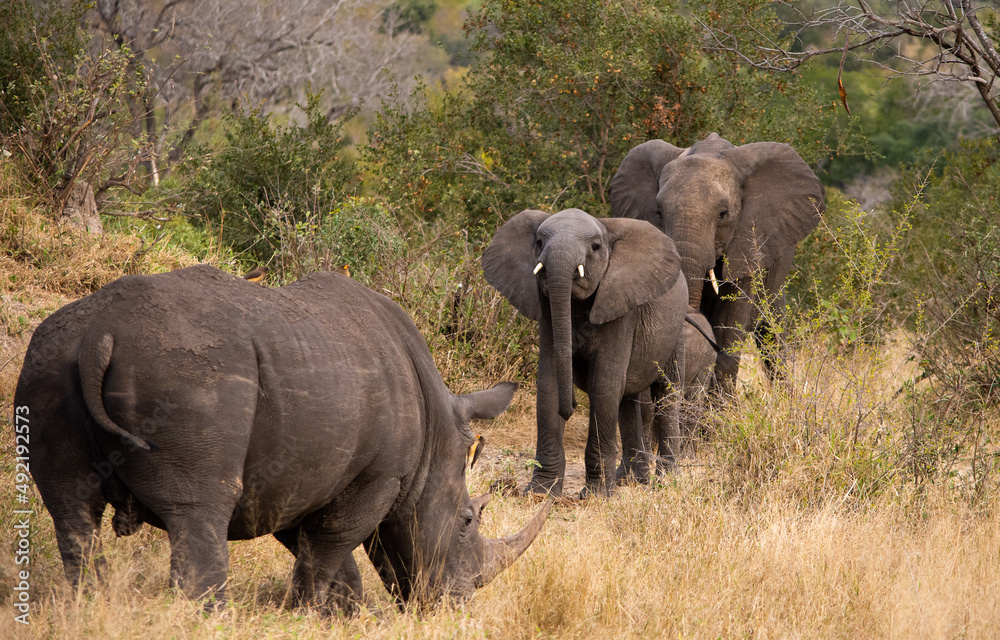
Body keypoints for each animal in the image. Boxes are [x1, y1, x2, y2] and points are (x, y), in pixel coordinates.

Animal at [14, 264, 549, 612]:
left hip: (46, 361)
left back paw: (89, 607)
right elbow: (332, 543)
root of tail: (99, 334)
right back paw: (207, 618)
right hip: (187, 374)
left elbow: (314, 545)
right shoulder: (380, 477)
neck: (436, 437)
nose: (457, 606)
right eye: (466, 521)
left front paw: (343, 614)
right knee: (198, 507)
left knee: (70, 509)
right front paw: (306, 613)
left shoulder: (297, 475)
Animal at [483, 208, 688, 497]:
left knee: (666, 395)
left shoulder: (620, 308)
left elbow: (603, 384)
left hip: (677, 330)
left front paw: (597, 495)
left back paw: (665, 482)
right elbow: (549, 384)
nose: (570, 408)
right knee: (628, 400)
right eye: (538, 242)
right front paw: (541, 492)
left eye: (595, 247)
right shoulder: (546, 309)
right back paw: (631, 480)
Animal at [609, 133, 825, 392]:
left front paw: (721, 404)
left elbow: (730, 321)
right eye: (658, 213)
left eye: (723, 214)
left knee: (771, 332)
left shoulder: (748, 241)